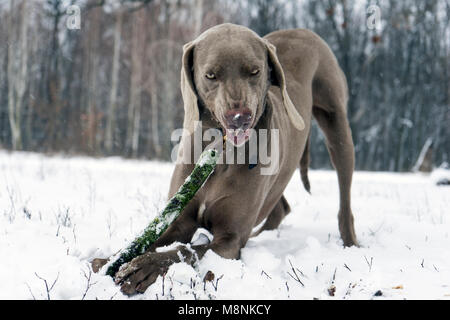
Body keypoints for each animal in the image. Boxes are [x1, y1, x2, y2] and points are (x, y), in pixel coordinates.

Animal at [92, 23, 358, 296]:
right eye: (211, 75)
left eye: (255, 71)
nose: (239, 117)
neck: (220, 154)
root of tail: (302, 30)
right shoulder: (179, 222)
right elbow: (156, 240)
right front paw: (108, 259)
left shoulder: (229, 239)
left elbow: (185, 251)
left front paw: (142, 267)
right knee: (280, 205)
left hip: (337, 125)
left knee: (344, 193)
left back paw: (350, 242)